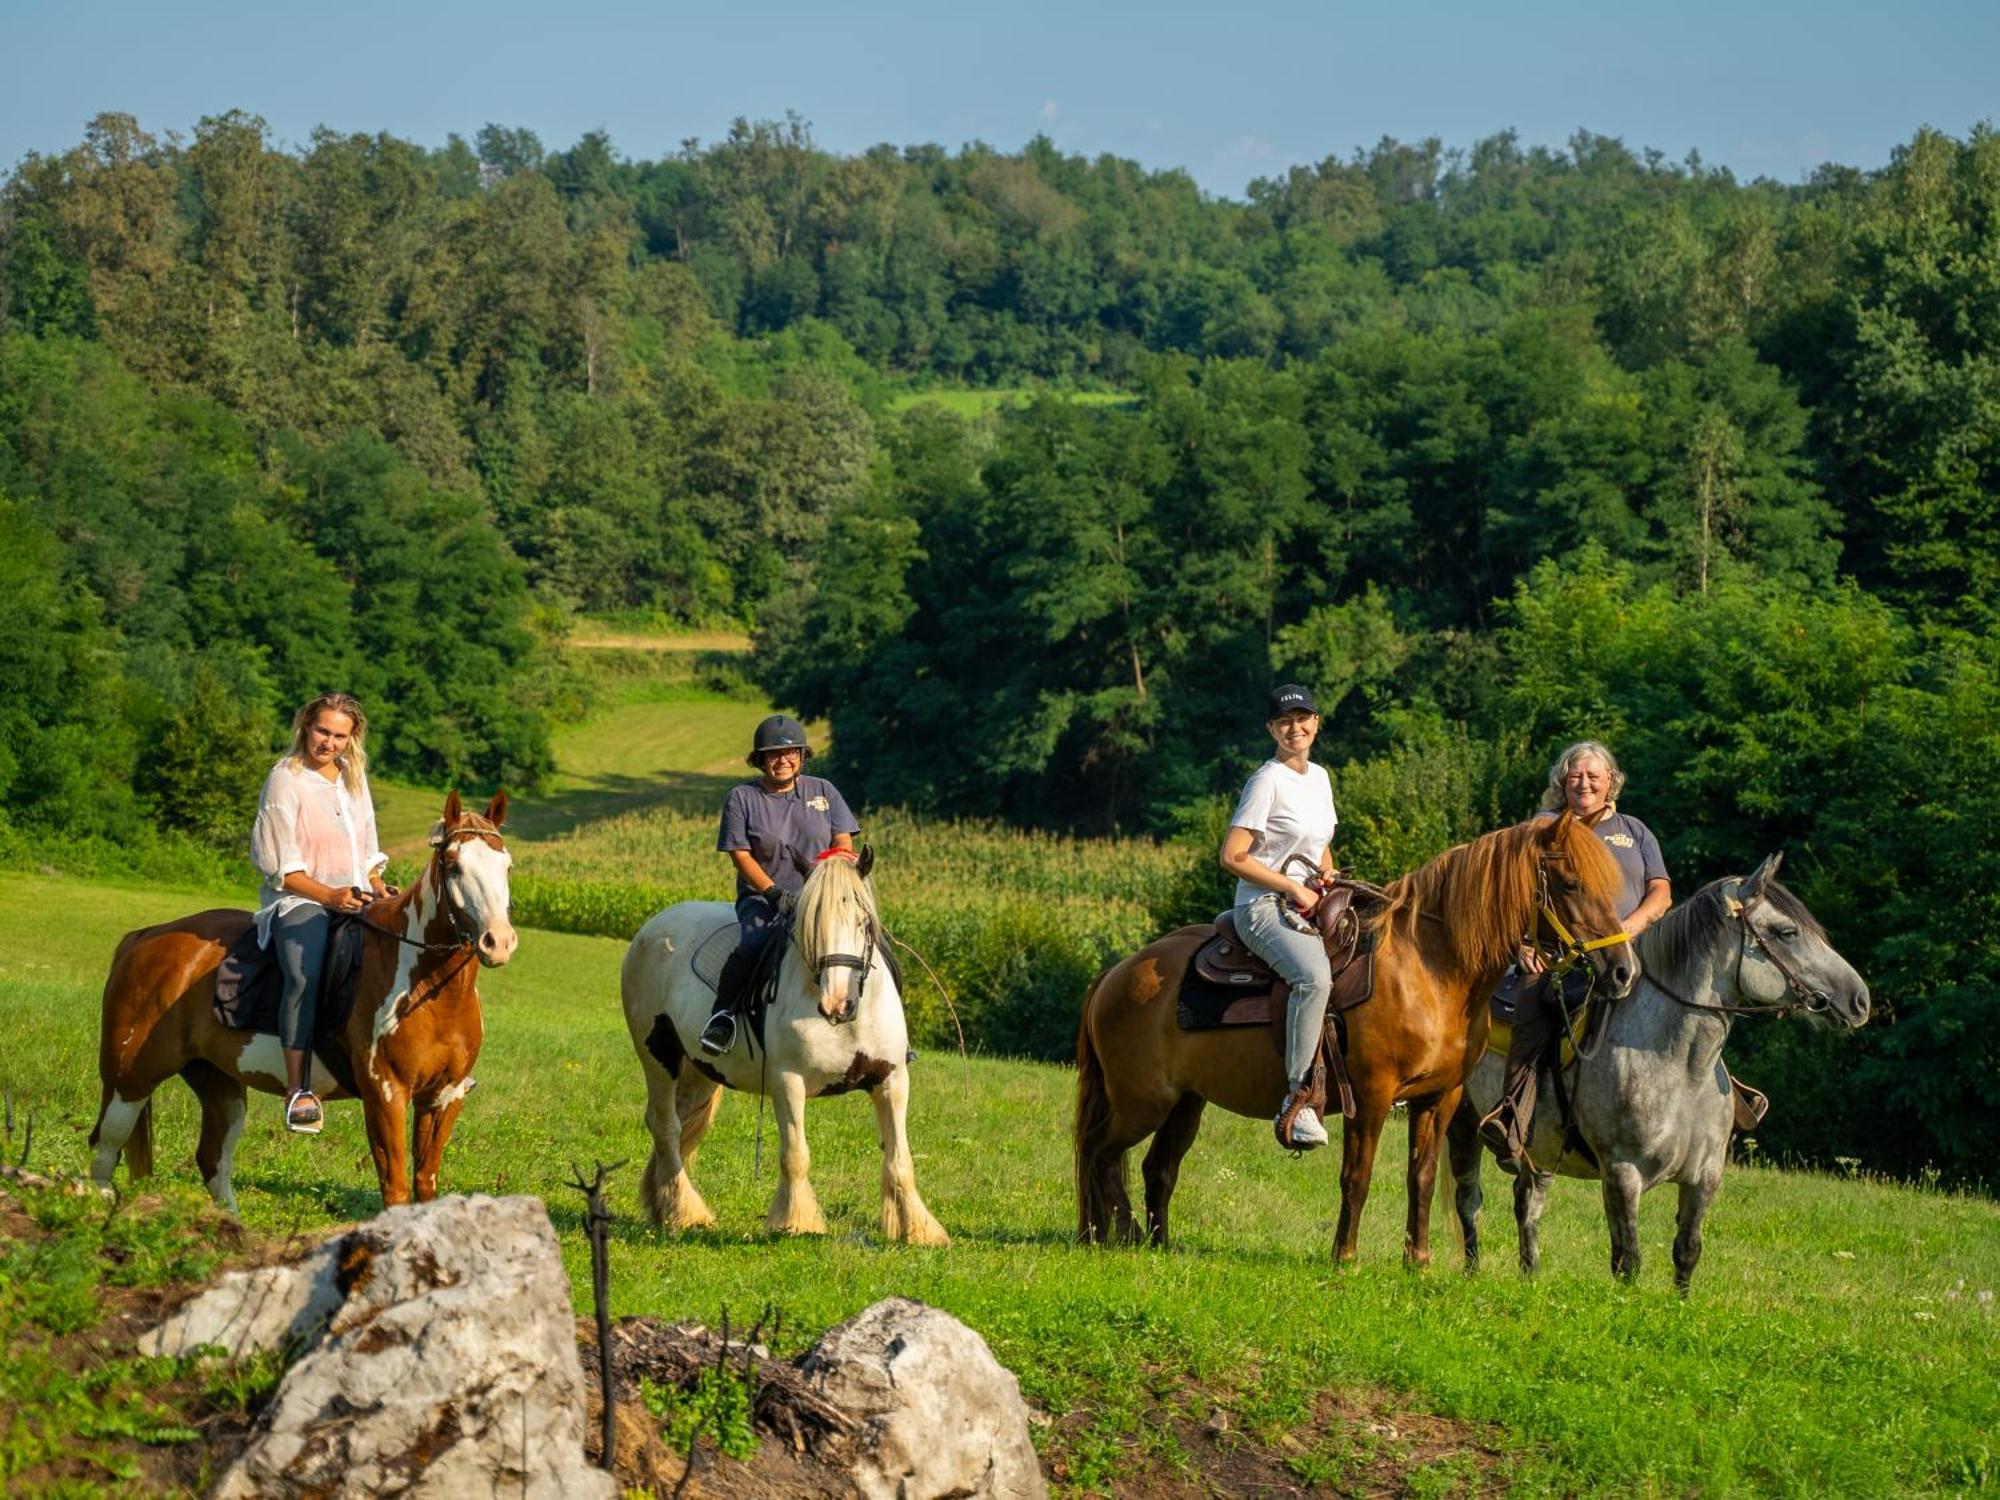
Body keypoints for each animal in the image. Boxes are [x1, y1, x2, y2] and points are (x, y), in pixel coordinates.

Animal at [93, 792, 516, 1216]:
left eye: (506, 865)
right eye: (454, 865)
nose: (499, 941)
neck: (428, 985)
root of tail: (144, 938)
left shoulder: (443, 1097)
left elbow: (425, 1183)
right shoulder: (386, 1094)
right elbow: (395, 1188)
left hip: (218, 1082)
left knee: (212, 1160)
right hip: (129, 1080)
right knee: (105, 1151)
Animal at [1080, 812, 1624, 1272]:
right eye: (1571, 883)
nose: (1621, 969)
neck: (1429, 968)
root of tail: (1118, 972)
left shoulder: (1439, 1099)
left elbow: (1422, 1178)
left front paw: (1418, 1263)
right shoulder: (1373, 1094)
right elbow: (1357, 1176)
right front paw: (1345, 1258)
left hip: (1184, 1104)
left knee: (1156, 1168)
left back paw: (1156, 1244)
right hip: (1142, 1101)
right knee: (1101, 1153)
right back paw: (1125, 1234)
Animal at [1448, 856, 1864, 1296]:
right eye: (1787, 932)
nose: (1859, 999)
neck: (1683, 1069)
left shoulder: (1705, 1178)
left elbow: (1687, 1252)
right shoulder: (1622, 1172)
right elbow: (1627, 1260)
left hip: (1539, 1148)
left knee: (1526, 1203)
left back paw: (1530, 1277)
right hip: (1462, 1123)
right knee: (1469, 1200)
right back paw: (1472, 1272)